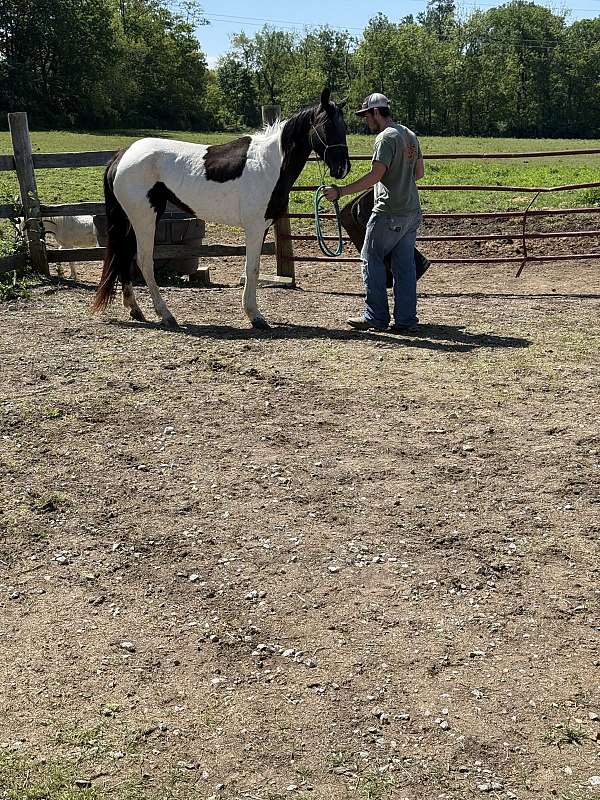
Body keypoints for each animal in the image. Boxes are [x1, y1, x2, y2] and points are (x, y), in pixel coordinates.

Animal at [92, 88, 350, 329]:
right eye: (326, 125)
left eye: (344, 126)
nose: (342, 168)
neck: (270, 163)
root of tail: (122, 155)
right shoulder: (254, 227)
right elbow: (252, 269)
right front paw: (255, 316)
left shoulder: (263, 226)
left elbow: (253, 268)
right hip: (144, 218)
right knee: (144, 261)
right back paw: (166, 315)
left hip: (131, 220)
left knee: (125, 257)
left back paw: (135, 309)